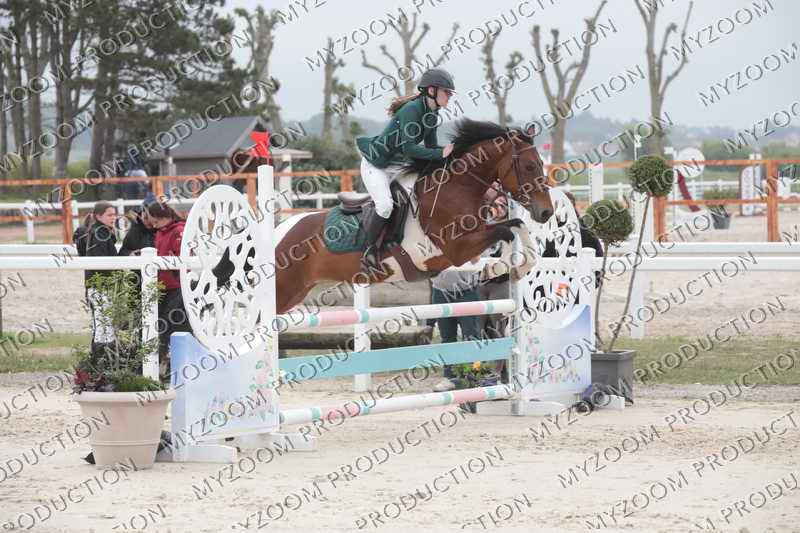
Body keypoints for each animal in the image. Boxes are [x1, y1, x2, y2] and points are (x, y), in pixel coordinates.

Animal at [270, 119, 553, 314]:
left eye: (540, 164)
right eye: (530, 166)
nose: (546, 212)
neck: (455, 188)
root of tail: (278, 232)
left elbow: (515, 225)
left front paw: (521, 266)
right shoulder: (455, 250)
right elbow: (505, 232)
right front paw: (498, 267)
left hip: (296, 291)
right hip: (283, 290)